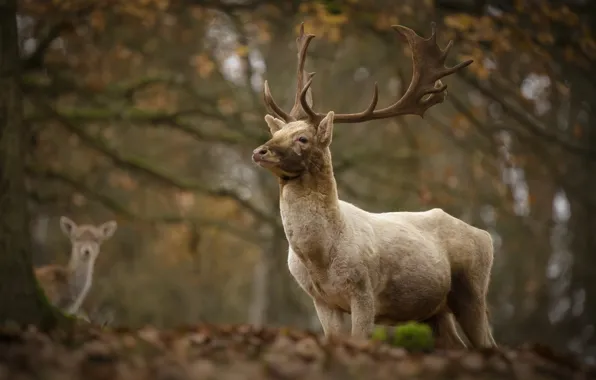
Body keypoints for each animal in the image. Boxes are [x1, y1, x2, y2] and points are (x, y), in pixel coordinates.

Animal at [251, 23, 498, 350]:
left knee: (488, 343)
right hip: (434, 310)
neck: (320, 258)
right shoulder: (322, 300)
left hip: (472, 288)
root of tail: (486, 236)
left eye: (302, 138)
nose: (260, 151)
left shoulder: (364, 291)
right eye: (280, 132)